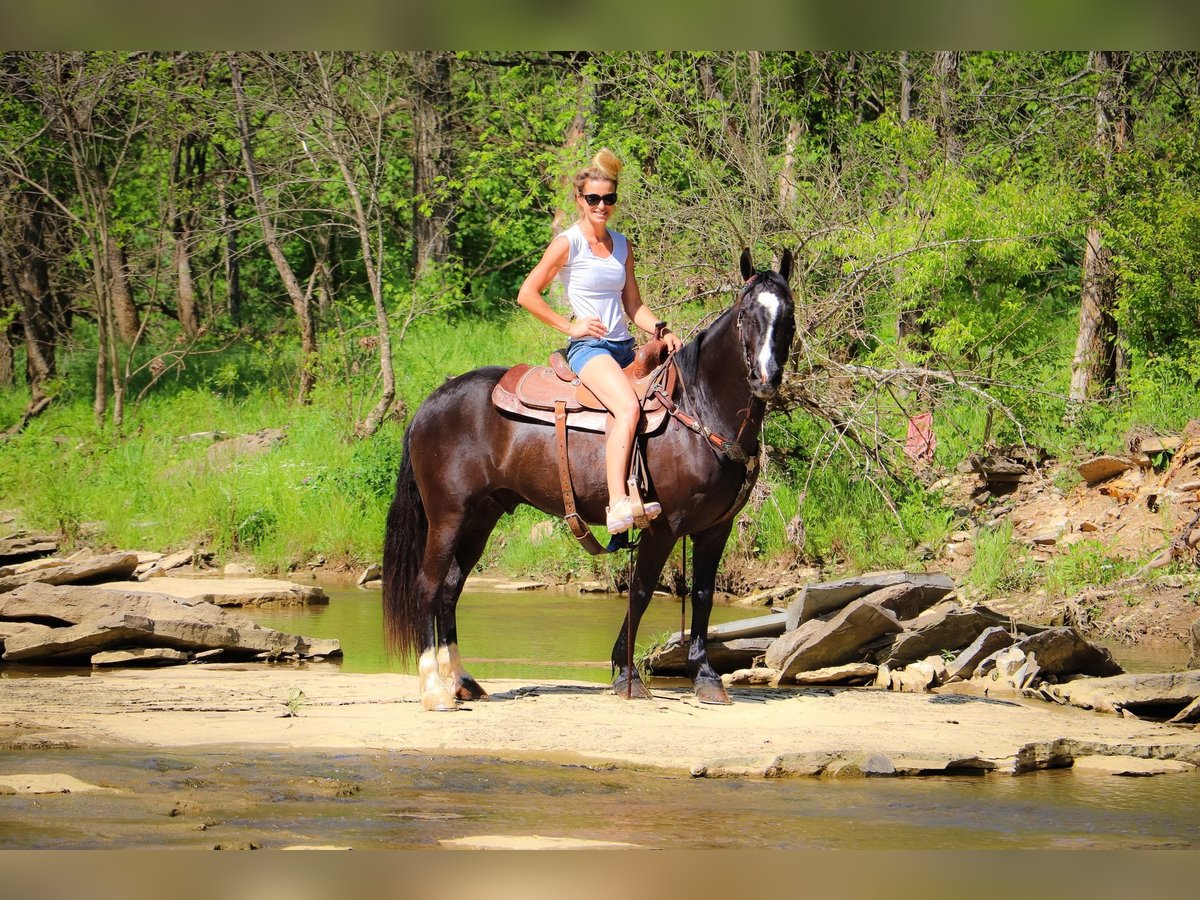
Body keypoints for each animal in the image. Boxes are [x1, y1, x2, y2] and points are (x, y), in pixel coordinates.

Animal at [386, 248, 796, 710]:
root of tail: (431, 402)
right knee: (428, 587)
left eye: (788, 313)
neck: (699, 407)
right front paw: (627, 675)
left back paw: (462, 681)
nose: (766, 378)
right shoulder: (663, 526)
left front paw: (706, 678)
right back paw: (435, 690)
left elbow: (704, 596)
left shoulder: (715, 528)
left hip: (481, 516)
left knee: (451, 589)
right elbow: (641, 592)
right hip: (447, 516)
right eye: (746, 313)